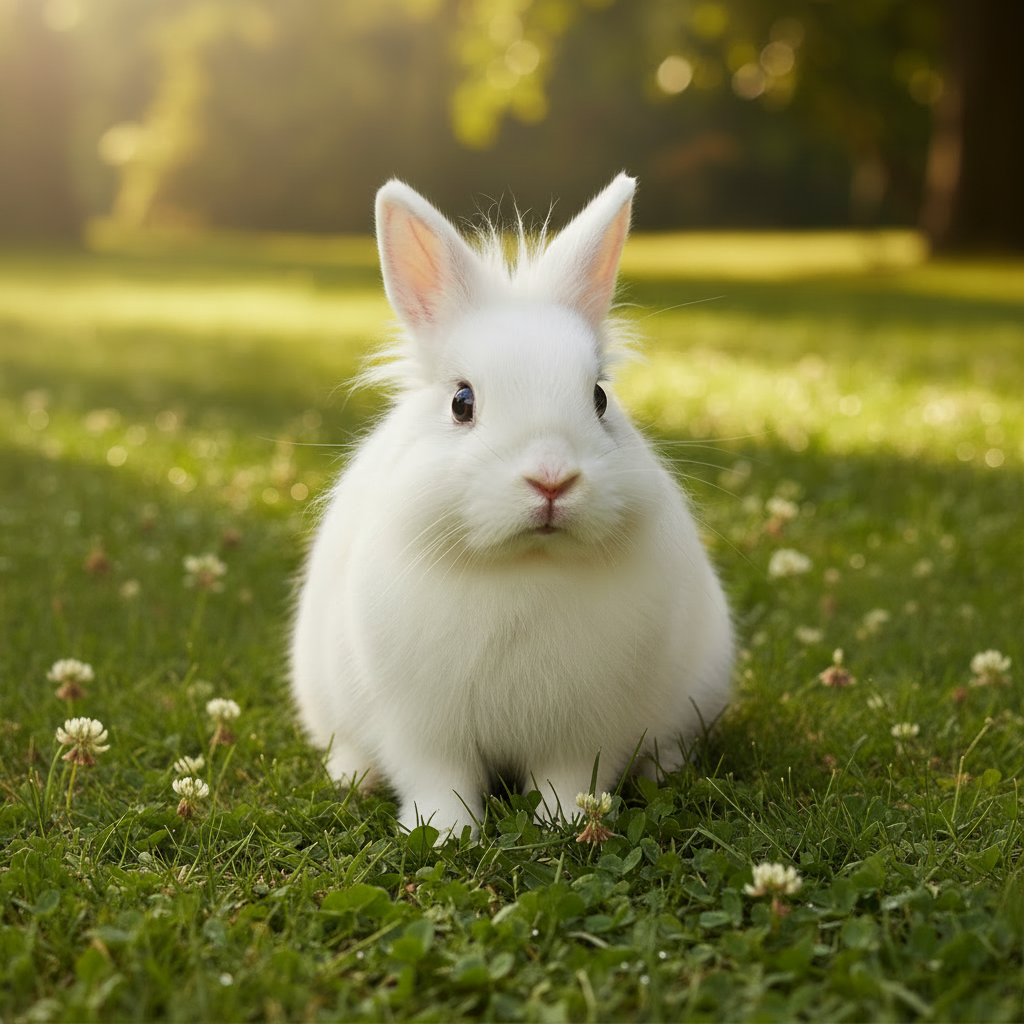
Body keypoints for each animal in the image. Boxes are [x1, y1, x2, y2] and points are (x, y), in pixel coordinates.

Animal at [290, 173, 734, 839]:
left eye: (599, 397)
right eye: (462, 402)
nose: (551, 479)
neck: (525, 564)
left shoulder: (583, 729)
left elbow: (568, 778)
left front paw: (563, 824)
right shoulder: (422, 727)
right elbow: (438, 781)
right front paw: (443, 833)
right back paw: (353, 776)